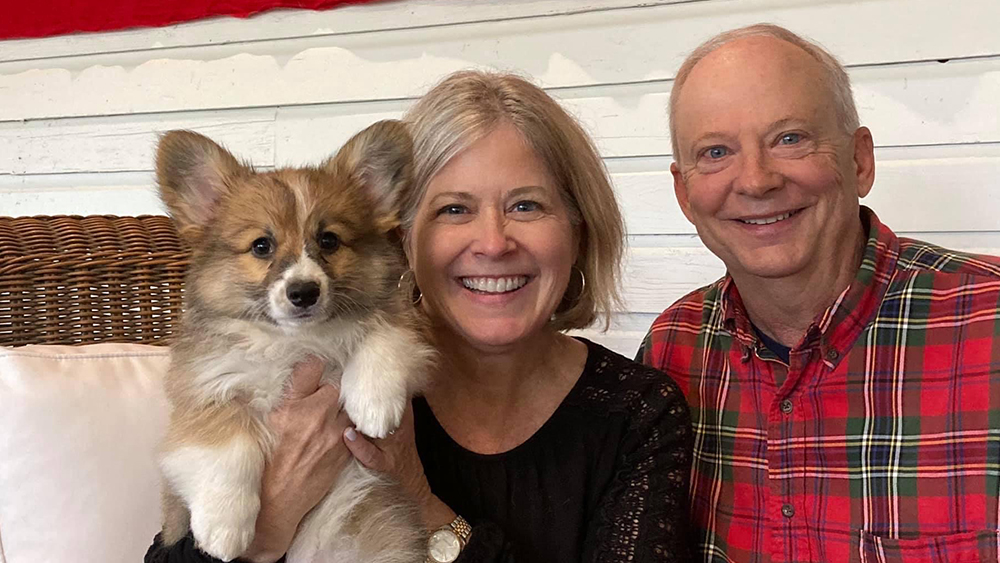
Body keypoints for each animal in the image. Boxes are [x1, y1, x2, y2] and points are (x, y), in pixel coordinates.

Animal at [154, 121, 432, 560]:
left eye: (329, 240)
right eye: (261, 245)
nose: (304, 292)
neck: (293, 343)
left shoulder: (404, 329)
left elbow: (385, 333)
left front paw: (373, 404)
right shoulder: (202, 390)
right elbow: (228, 439)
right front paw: (224, 526)